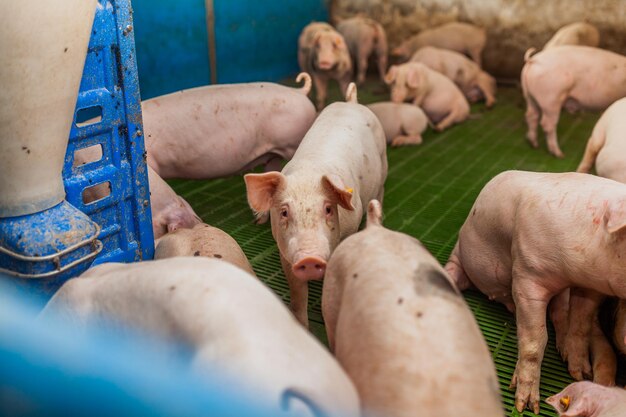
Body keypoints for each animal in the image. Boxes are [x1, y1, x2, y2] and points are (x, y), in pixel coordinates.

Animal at [243, 83, 386, 324]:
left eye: (328, 209)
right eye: (284, 212)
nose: (309, 258)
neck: (308, 174)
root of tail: (352, 102)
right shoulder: (285, 251)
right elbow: (298, 295)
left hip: (384, 162)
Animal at [444, 170, 626, 412]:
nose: (526, 406)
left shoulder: (590, 287)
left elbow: (580, 326)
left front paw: (579, 373)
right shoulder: (527, 274)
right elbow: (535, 340)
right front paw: (526, 406)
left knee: (560, 314)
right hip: (460, 255)